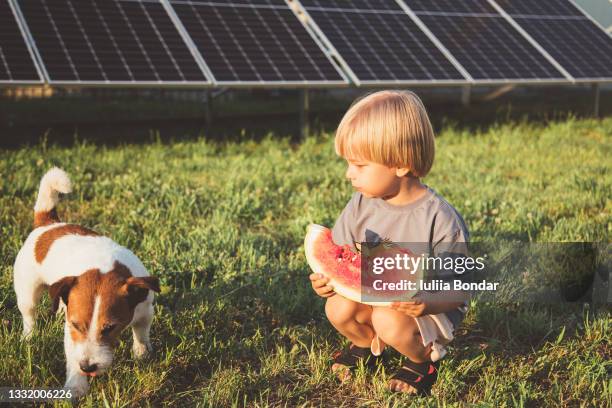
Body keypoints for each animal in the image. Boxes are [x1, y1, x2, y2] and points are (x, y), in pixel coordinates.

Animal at [13, 167, 160, 396]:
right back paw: (28, 336)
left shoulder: (145, 310)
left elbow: (141, 333)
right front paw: (76, 386)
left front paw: (141, 353)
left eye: (109, 328)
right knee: (29, 315)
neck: (105, 266)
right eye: (76, 325)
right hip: (27, 293)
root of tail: (48, 224)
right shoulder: (72, 335)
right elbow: (73, 355)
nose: (88, 367)